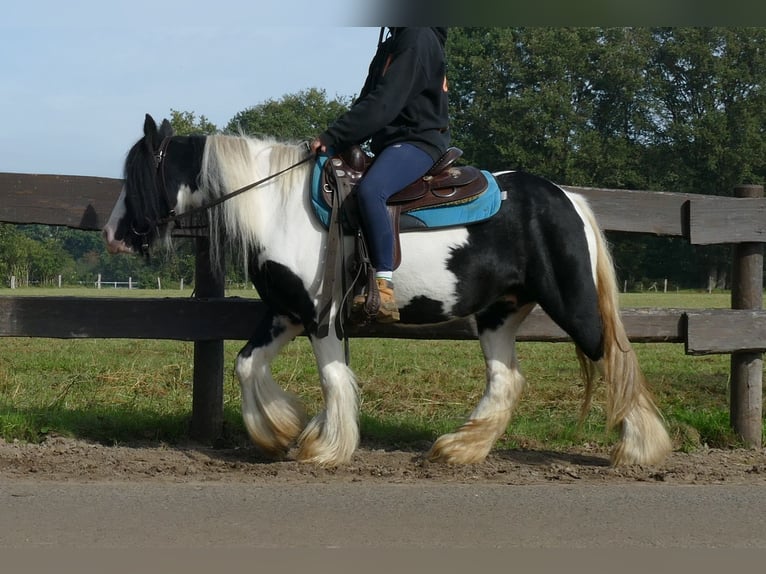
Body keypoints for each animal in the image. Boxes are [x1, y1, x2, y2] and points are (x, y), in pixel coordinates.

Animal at [103, 115, 672, 470]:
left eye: (139, 174)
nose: (112, 234)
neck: (279, 208)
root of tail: (567, 197)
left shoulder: (322, 316)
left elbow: (333, 379)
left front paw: (325, 448)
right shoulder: (286, 313)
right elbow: (247, 364)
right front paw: (278, 432)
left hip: (573, 305)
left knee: (615, 358)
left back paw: (642, 449)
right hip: (496, 314)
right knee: (505, 380)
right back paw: (459, 449)